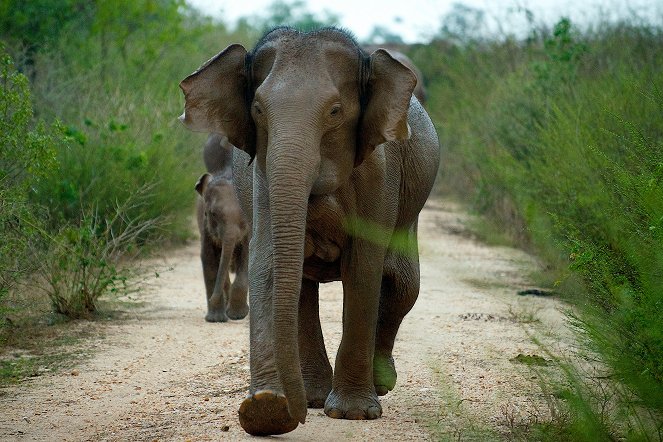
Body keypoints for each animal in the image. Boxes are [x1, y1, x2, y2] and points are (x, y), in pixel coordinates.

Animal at [197, 172, 252, 322]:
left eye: (245, 213)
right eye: (212, 213)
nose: (211, 299)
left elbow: (247, 257)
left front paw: (237, 316)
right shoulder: (206, 228)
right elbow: (208, 260)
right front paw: (215, 319)